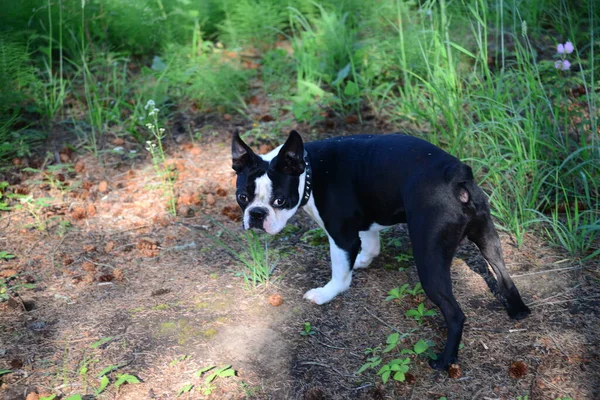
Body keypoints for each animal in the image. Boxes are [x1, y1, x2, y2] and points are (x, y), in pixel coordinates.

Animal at [231, 130, 528, 370]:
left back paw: (444, 361)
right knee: (503, 275)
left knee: (455, 314)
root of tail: (456, 177)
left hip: (429, 257)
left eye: (280, 200)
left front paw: (327, 293)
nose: (256, 215)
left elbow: (340, 273)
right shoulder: (363, 223)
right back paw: (518, 311)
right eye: (242, 198)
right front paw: (361, 261)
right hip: (488, 237)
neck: (310, 172)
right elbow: (370, 244)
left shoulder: (341, 236)